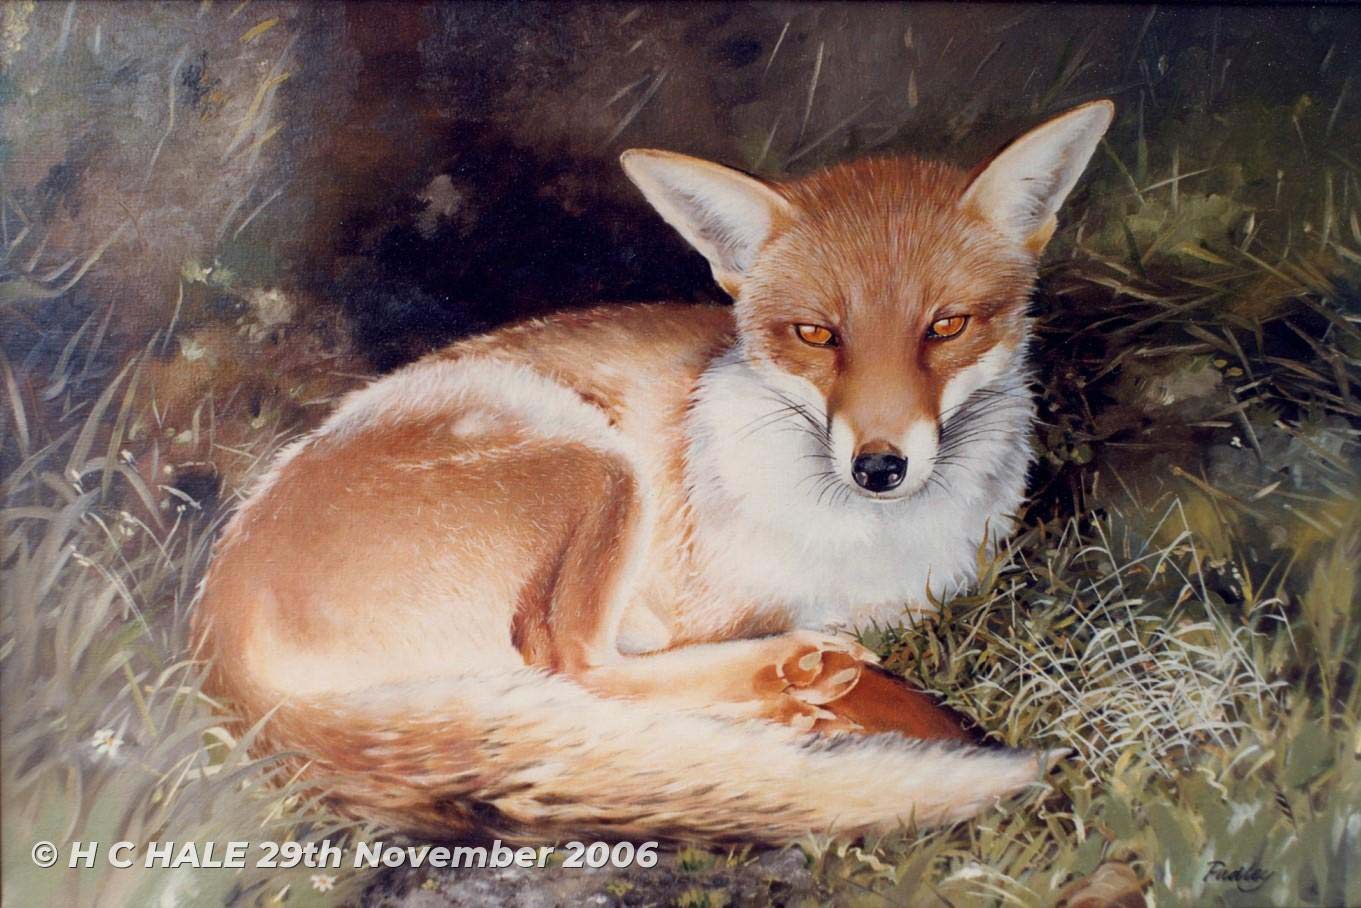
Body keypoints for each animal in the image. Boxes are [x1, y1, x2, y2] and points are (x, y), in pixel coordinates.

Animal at [193, 100, 1114, 844]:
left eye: (946, 326)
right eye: (816, 335)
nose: (879, 466)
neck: (862, 551)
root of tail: (221, 637)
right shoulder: (698, 609)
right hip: (592, 464)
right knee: (573, 667)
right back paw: (791, 677)